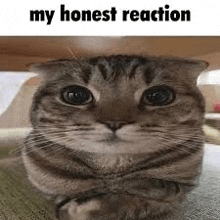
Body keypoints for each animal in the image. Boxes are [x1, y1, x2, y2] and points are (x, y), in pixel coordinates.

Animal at [21, 54, 208, 218]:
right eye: (76, 95)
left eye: (158, 95)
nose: (114, 122)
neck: (111, 170)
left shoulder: (183, 188)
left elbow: (143, 200)